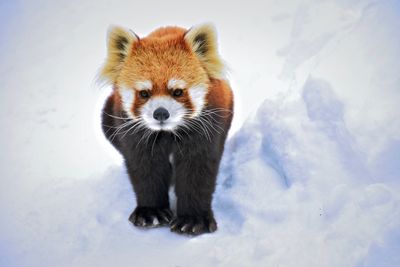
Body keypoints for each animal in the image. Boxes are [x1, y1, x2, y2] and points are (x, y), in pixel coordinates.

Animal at [99, 24, 234, 236]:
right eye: (144, 93)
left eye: (177, 92)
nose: (160, 113)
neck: (169, 132)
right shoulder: (133, 133)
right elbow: (145, 169)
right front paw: (151, 212)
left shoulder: (208, 128)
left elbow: (198, 169)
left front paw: (192, 219)